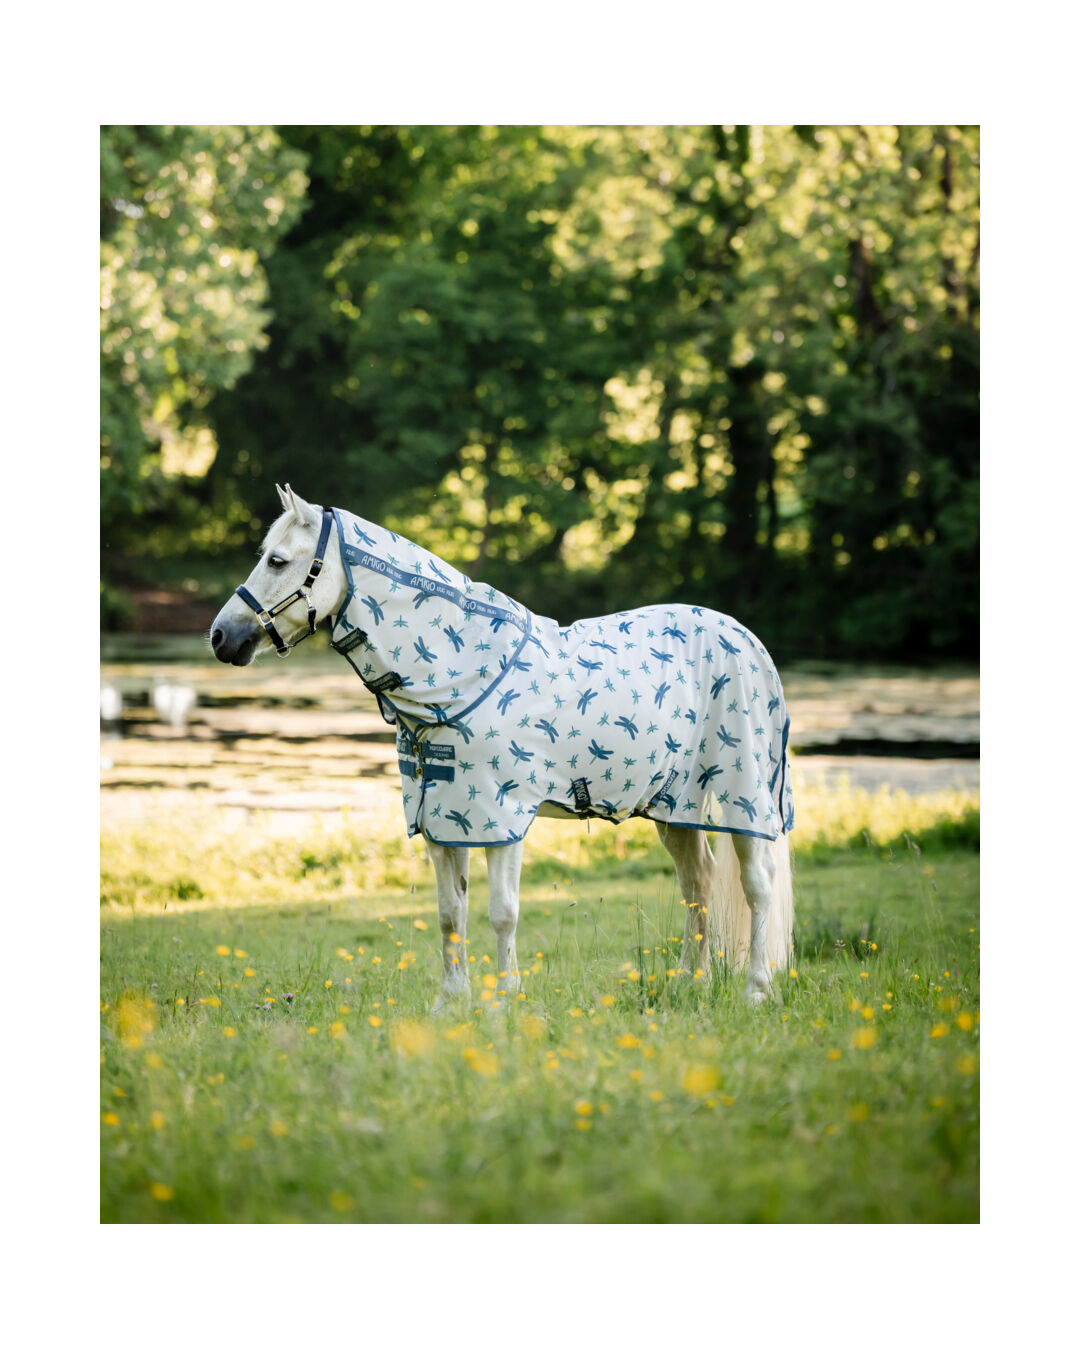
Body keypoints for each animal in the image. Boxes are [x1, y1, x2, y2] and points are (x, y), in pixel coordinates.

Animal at [210, 484, 795, 1009]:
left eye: (279, 560)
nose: (221, 637)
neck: (462, 675)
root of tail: (747, 641)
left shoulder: (503, 816)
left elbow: (502, 911)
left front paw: (506, 1000)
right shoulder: (442, 820)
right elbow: (450, 913)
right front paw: (451, 1003)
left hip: (743, 797)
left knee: (757, 885)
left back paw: (756, 991)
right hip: (674, 806)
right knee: (698, 883)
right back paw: (689, 984)